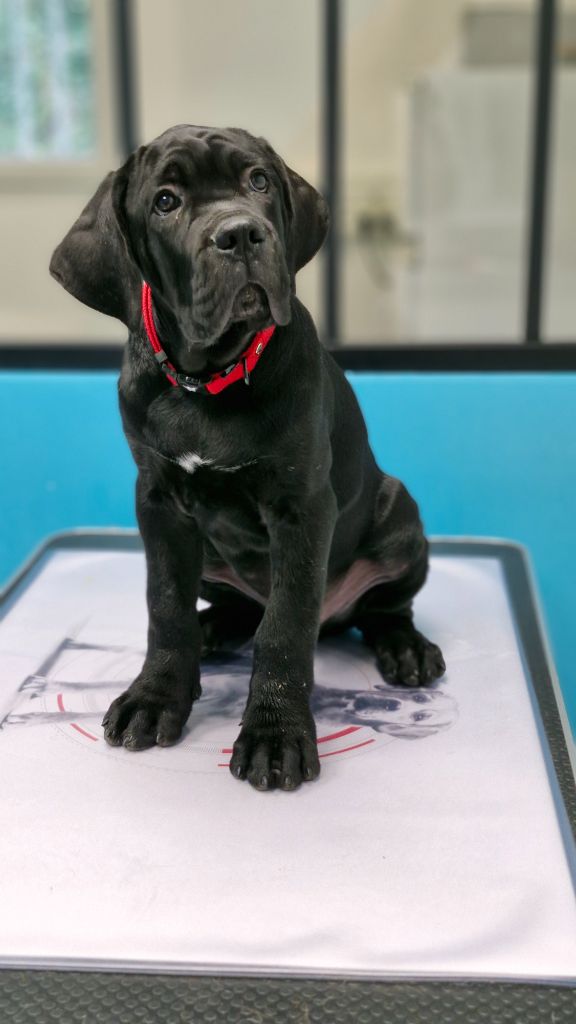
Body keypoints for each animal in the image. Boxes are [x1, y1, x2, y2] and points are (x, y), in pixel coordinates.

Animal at [50, 124, 445, 791]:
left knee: (382, 607)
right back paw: (213, 628)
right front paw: (156, 696)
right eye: (165, 202)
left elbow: (284, 626)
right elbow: (165, 605)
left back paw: (405, 646)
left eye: (258, 181)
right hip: (210, 553)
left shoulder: (303, 508)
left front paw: (275, 733)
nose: (239, 234)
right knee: (231, 606)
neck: (209, 380)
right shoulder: (158, 503)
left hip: (400, 517)